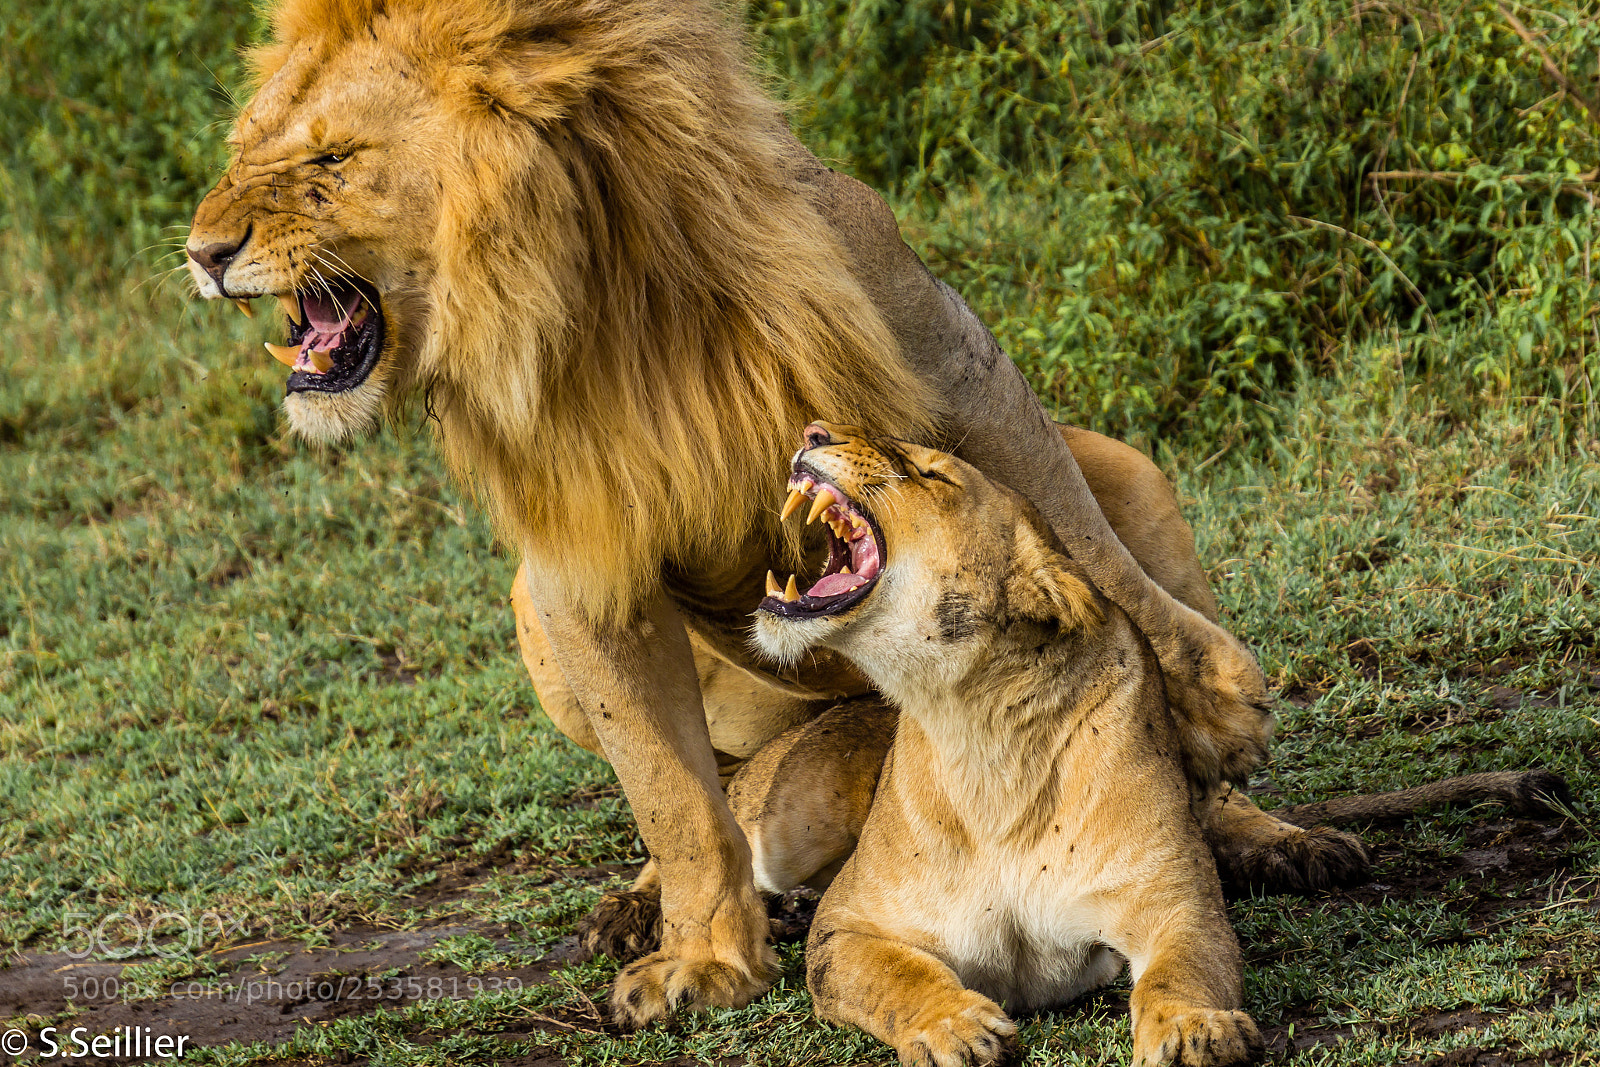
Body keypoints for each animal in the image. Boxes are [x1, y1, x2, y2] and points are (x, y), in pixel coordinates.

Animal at [189, 0, 1325, 1025]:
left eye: (333, 157)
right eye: (244, 153)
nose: (201, 252)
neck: (592, 307)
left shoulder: (945, 351)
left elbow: (1091, 559)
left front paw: (1211, 704)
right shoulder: (570, 556)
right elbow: (669, 791)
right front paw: (704, 956)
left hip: (1133, 466)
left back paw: (1271, 837)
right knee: (715, 791)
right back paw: (645, 907)